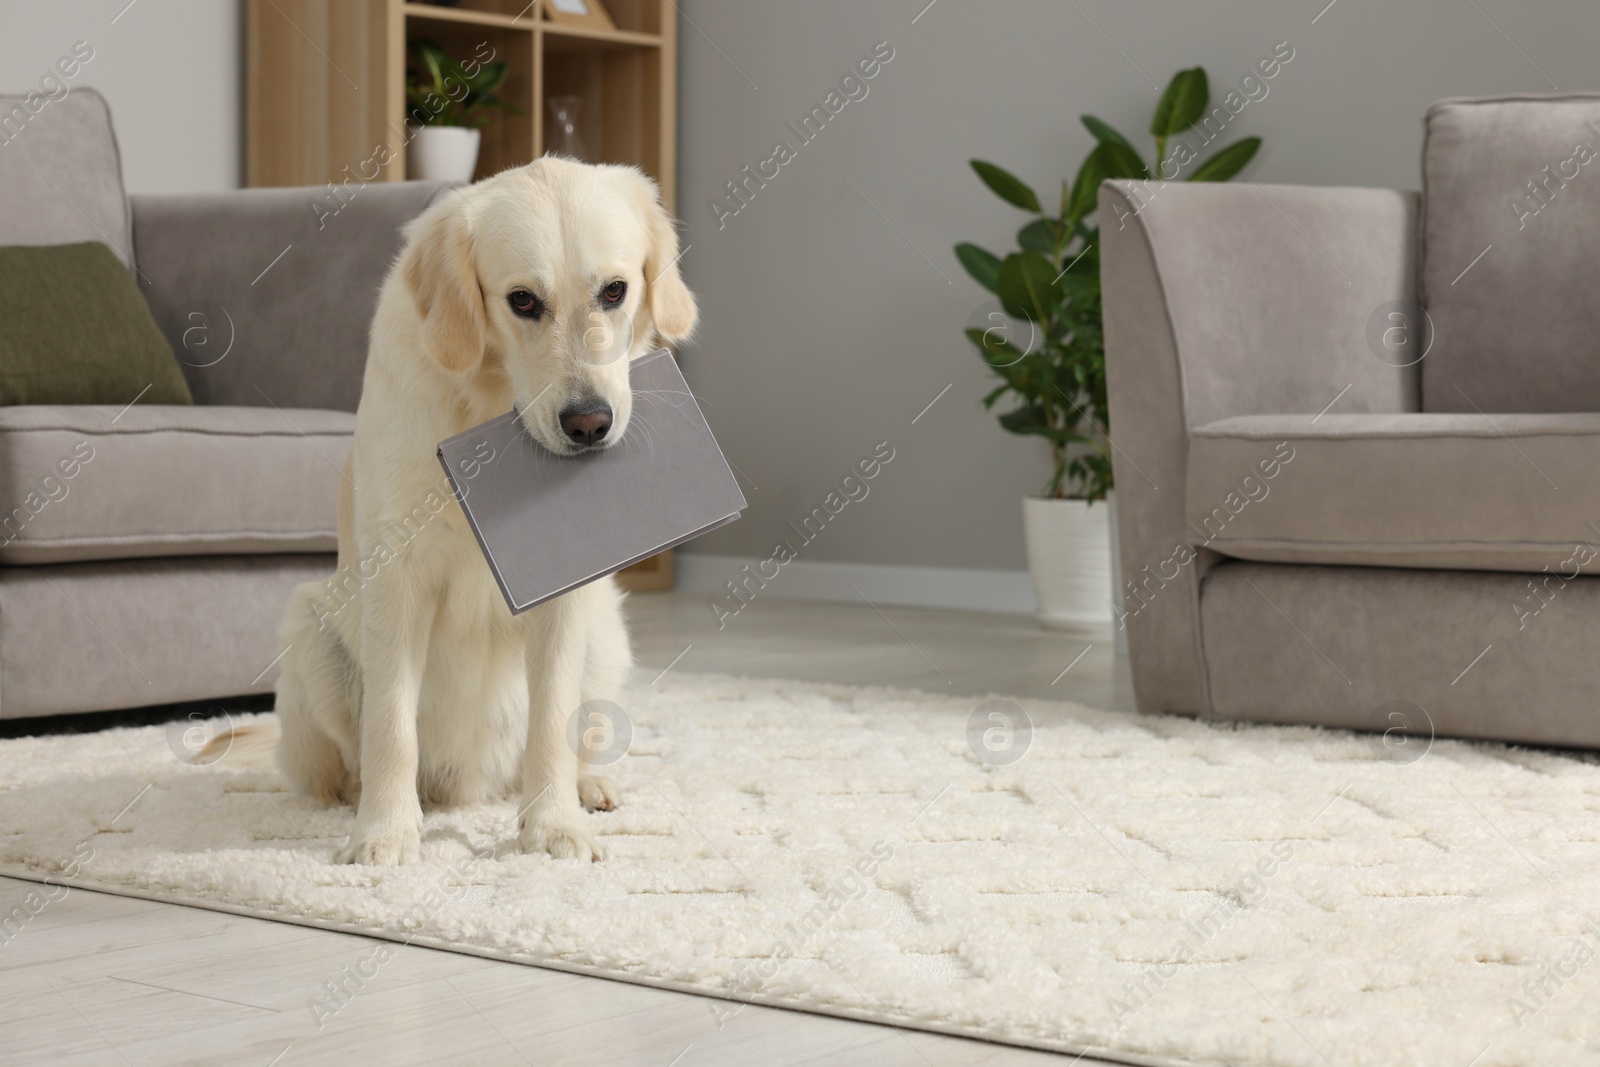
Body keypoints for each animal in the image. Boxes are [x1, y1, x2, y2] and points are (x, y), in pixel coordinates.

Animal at [273, 158, 694, 863]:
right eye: (522, 300)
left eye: (615, 290)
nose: (590, 424)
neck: (493, 413)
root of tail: (472, 784)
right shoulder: (395, 573)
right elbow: (390, 723)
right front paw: (386, 833)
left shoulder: (564, 589)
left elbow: (551, 718)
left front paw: (552, 825)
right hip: (310, 625)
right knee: (341, 765)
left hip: (607, 631)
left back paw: (588, 787)